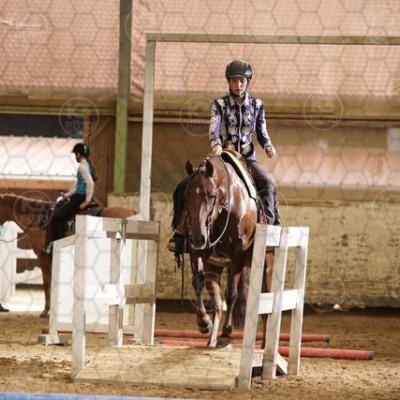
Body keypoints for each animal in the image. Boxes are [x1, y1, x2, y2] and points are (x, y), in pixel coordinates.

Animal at [183, 151, 274, 347]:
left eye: (211, 195)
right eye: (186, 195)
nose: (198, 237)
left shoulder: (238, 253)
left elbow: (231, 294)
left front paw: (226, 332)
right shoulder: (199, 252)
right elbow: (200, 285)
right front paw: (204, 323)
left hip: (267, 263)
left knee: (266, 301)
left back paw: (265, 343)